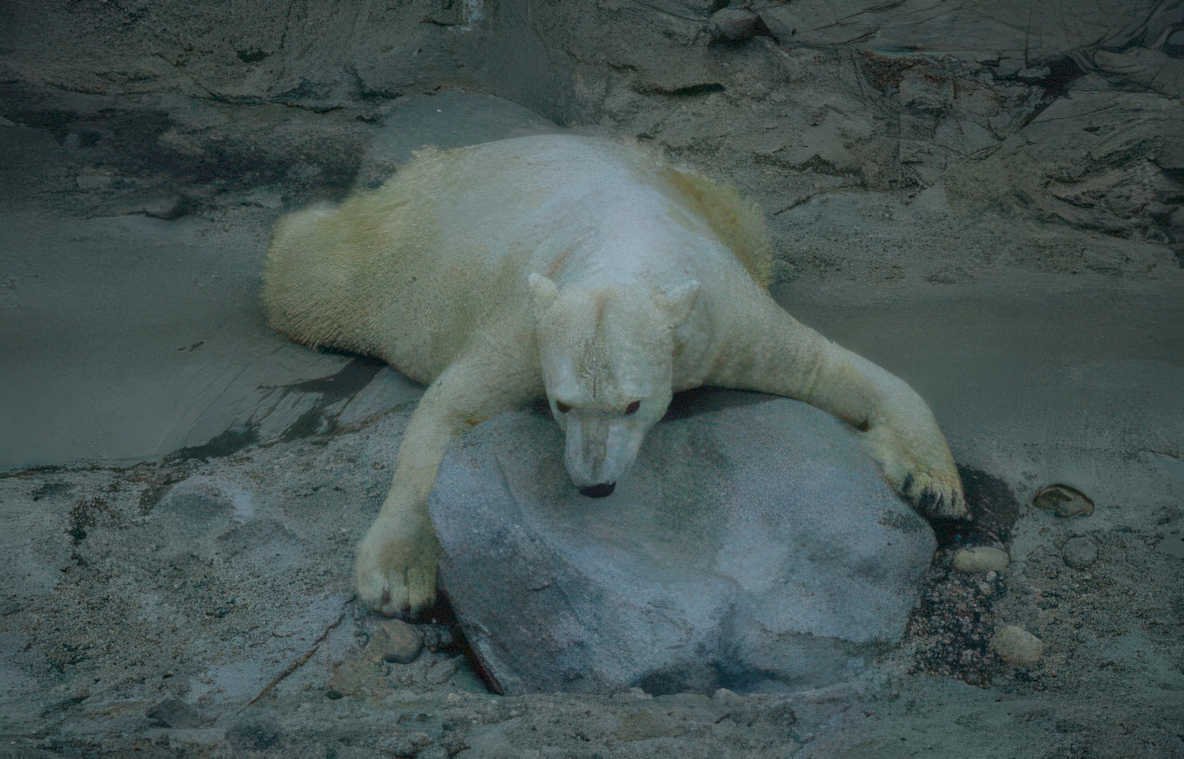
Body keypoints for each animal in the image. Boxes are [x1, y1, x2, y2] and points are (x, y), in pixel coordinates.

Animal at [262, 134, 967, 617]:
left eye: (633, 406)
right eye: (561, 404)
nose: (594, 485)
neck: (627, 253)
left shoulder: (722, 318)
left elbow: (833, 368)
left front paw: (935, 487)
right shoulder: (529, 325)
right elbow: (448, 410)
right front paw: (398, 580)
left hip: (716, 203)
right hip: (408, 251)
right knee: (320, 279)